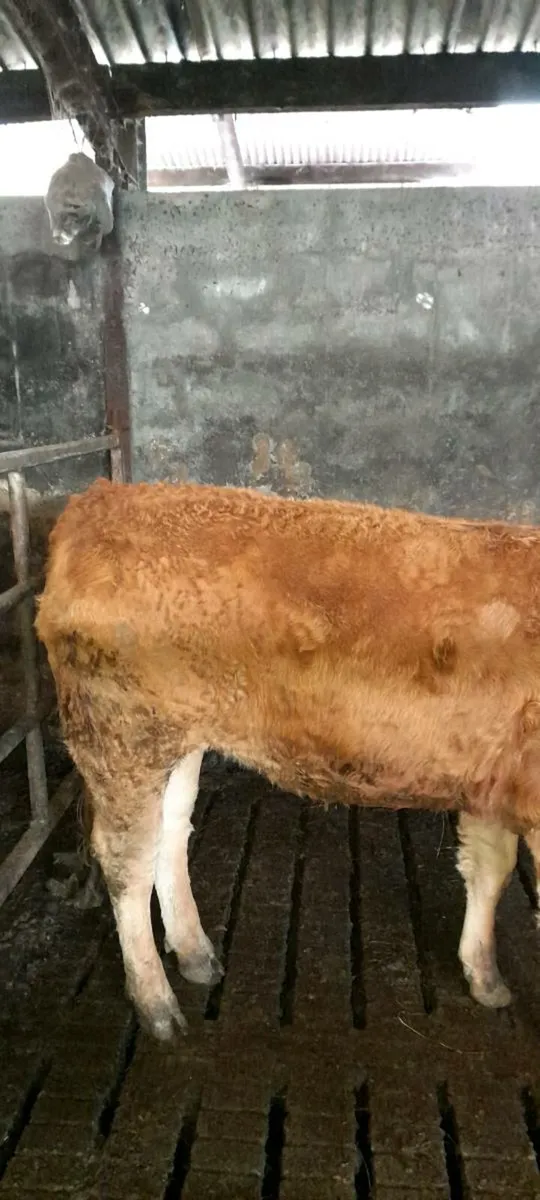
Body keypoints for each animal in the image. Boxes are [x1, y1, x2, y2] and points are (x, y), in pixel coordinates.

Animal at [35, 477, 540, 1040]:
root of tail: (98, 500)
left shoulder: (494, 777)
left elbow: (490, 870)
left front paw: (485, 976)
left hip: (177, 736)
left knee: (171, 831)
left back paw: (195, 953)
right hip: (121, 734)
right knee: (128, 860)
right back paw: (155, 1003)